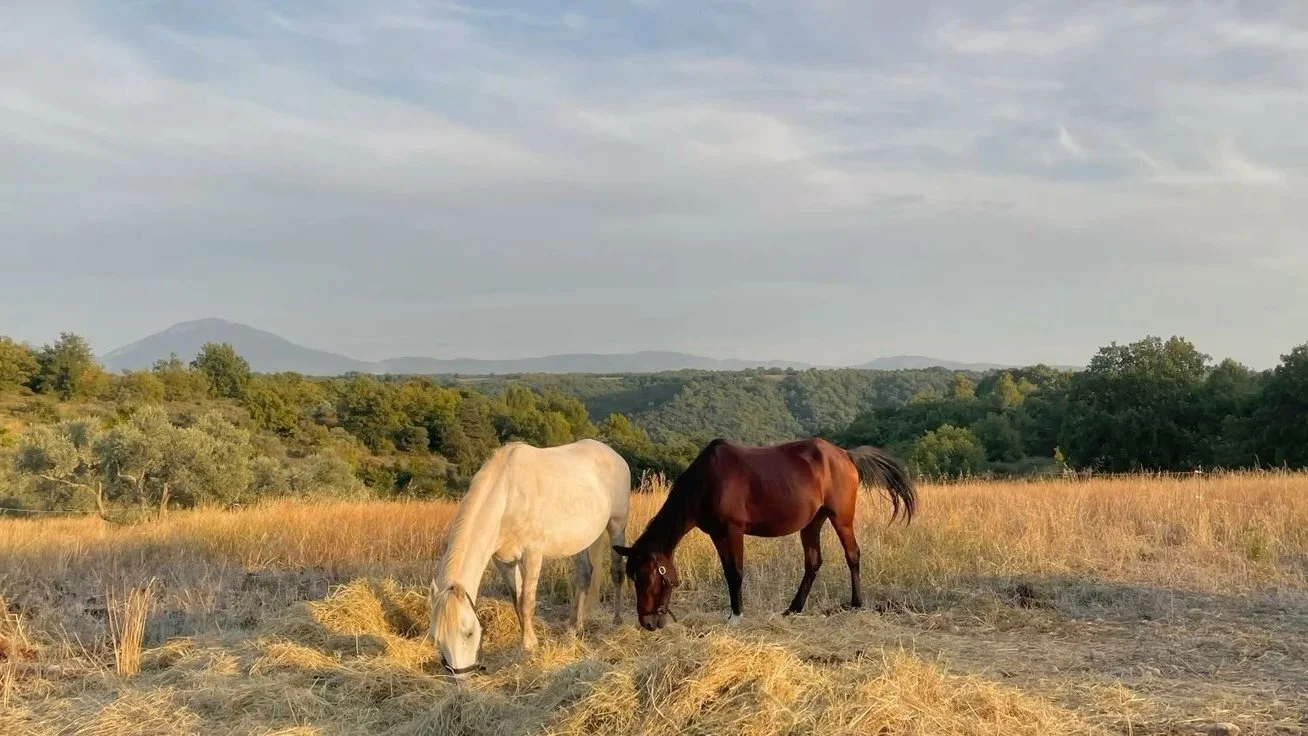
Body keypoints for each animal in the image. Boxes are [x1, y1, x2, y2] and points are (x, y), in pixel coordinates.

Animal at [427, 438, 631, 677]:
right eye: (437, 638)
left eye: (468, 632)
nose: (462, 677)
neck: (507, 497)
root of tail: (614, 454)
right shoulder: (504, 562)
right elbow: (517, 601)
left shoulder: (532, 555)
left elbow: (527, 602)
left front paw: (529, 646)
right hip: (579, 539)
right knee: (584, 575)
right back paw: (575, 627)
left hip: (617, 525)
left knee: (617, 572)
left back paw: (616, 621)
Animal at [613, 437, 916, 631]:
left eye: (646, 577)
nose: (648, 623)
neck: (707, 481)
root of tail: (845, 454)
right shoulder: (717, 535)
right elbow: (728, 571)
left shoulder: (733, 531)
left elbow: (736, 572)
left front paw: (736, 617)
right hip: (812, 523)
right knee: (813, 562)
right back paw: (793, 609)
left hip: (841, 519)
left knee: (852, 555)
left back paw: (855, 604)